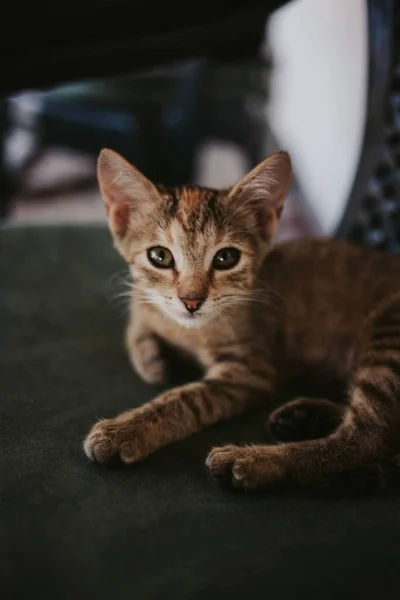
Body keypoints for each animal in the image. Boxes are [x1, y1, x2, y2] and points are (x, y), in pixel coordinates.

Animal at [83, 148, 400, 490]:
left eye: (226, 258)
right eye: (160, 256)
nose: (191, 300)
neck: (191, 333)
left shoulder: (250, 371)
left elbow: (187, 399)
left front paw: (126, 430)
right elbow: (138, 321)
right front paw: (152, 359)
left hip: (388, 337)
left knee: (368, 438)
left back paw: (249, 461)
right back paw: (305, 415)